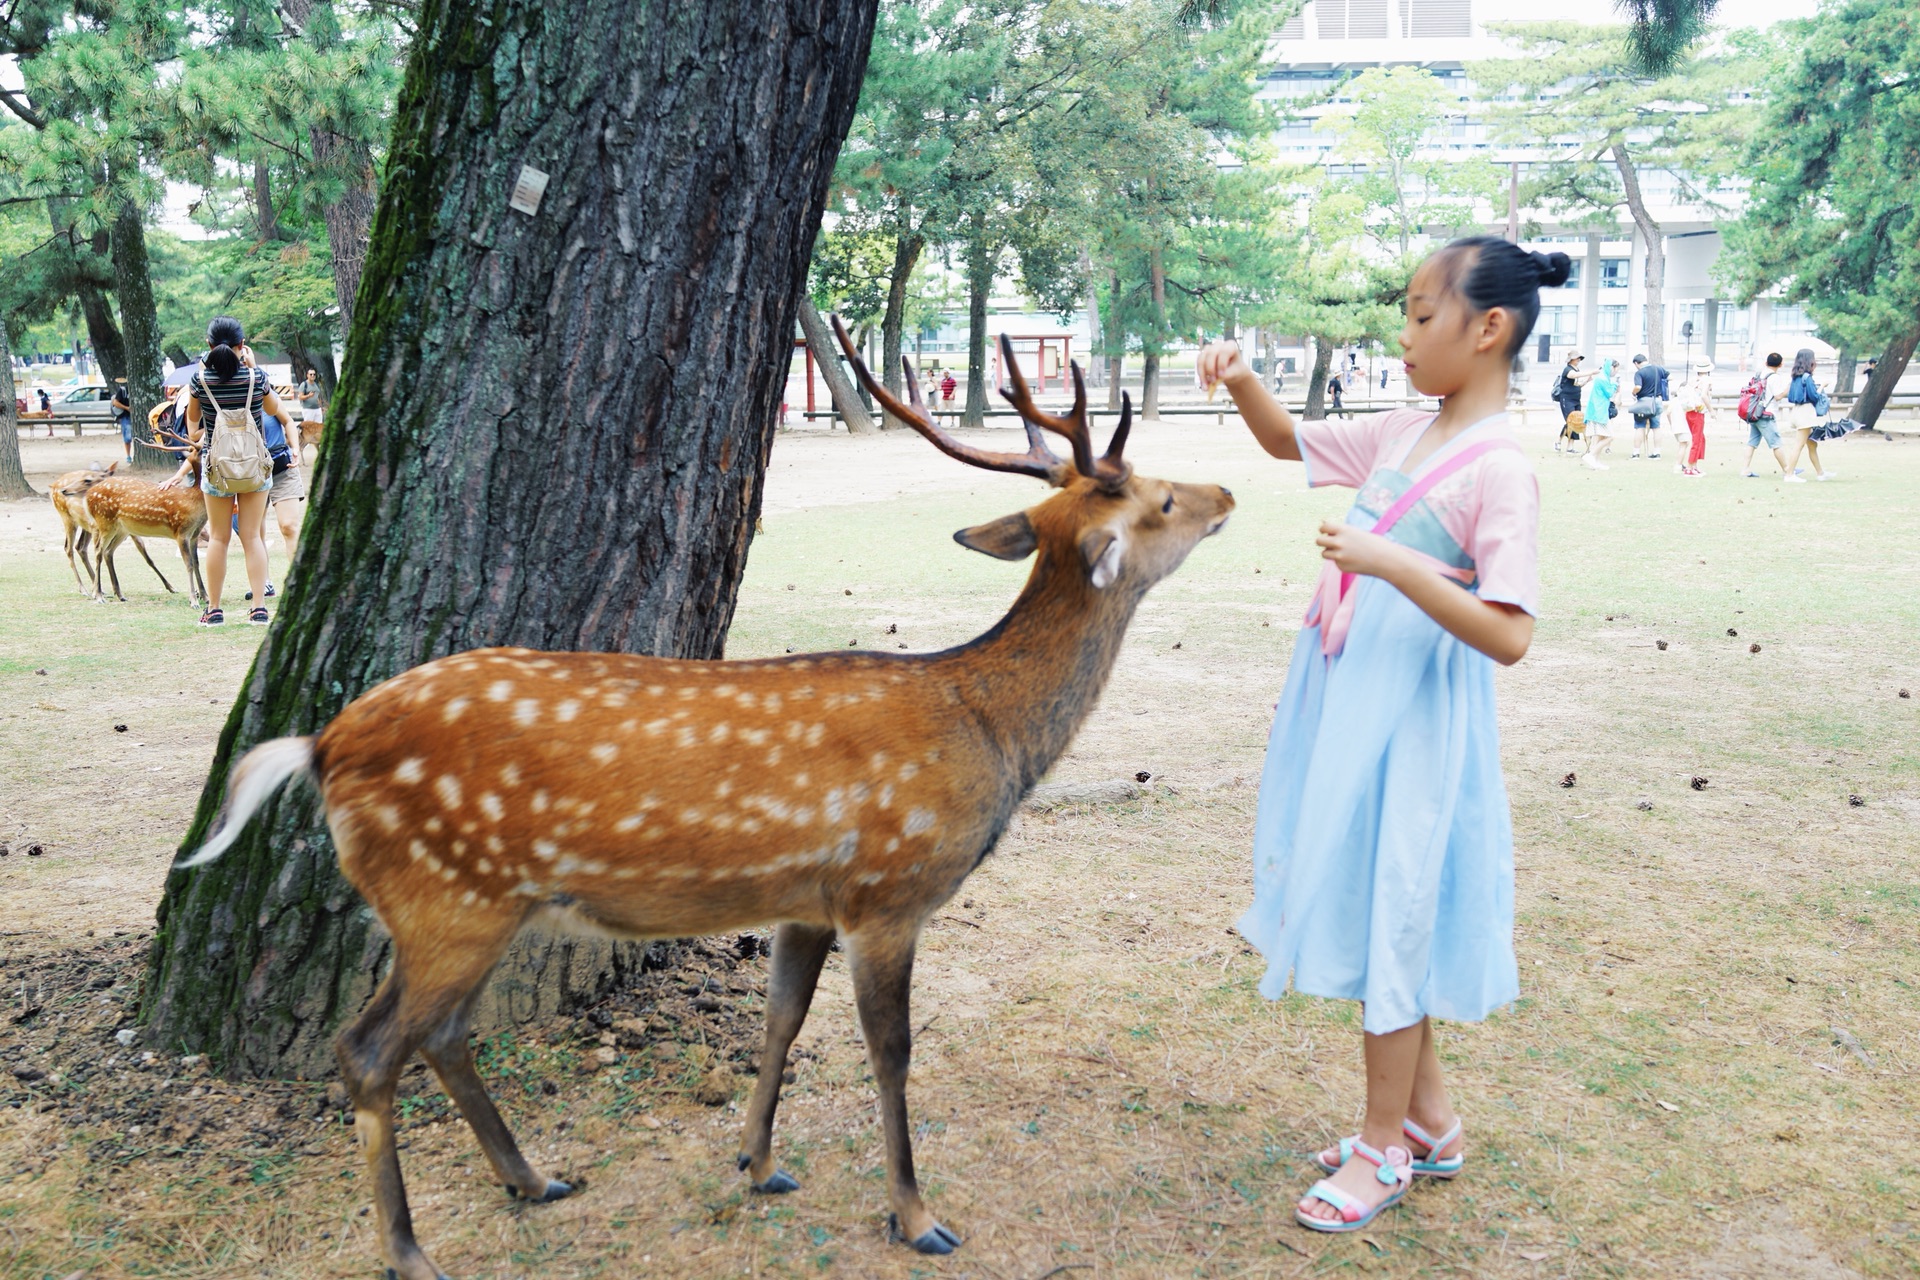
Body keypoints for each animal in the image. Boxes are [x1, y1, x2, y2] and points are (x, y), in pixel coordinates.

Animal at [176, 322, 1228, 1280]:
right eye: (1162, 496)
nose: (1227, 492)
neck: (987, 731)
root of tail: (320, 746)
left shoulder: (807, 900)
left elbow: (781, 1020)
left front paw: (758, 1163)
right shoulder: (888, 891)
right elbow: (890, 1052)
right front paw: (916, 1215)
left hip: (470, 903)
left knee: (437, 1033)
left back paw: (533, 1178)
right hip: (445, 895)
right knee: (368, 1049)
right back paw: (408, 1249)